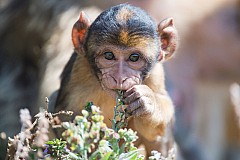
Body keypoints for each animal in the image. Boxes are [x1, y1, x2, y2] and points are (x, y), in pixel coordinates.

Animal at [54, 3, 178, 156]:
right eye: (109, 55)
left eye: (134, 57)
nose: (120, 78)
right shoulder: (79, 69)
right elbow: (65, 118)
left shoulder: (156, 73)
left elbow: (156, 129)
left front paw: (148, 103)